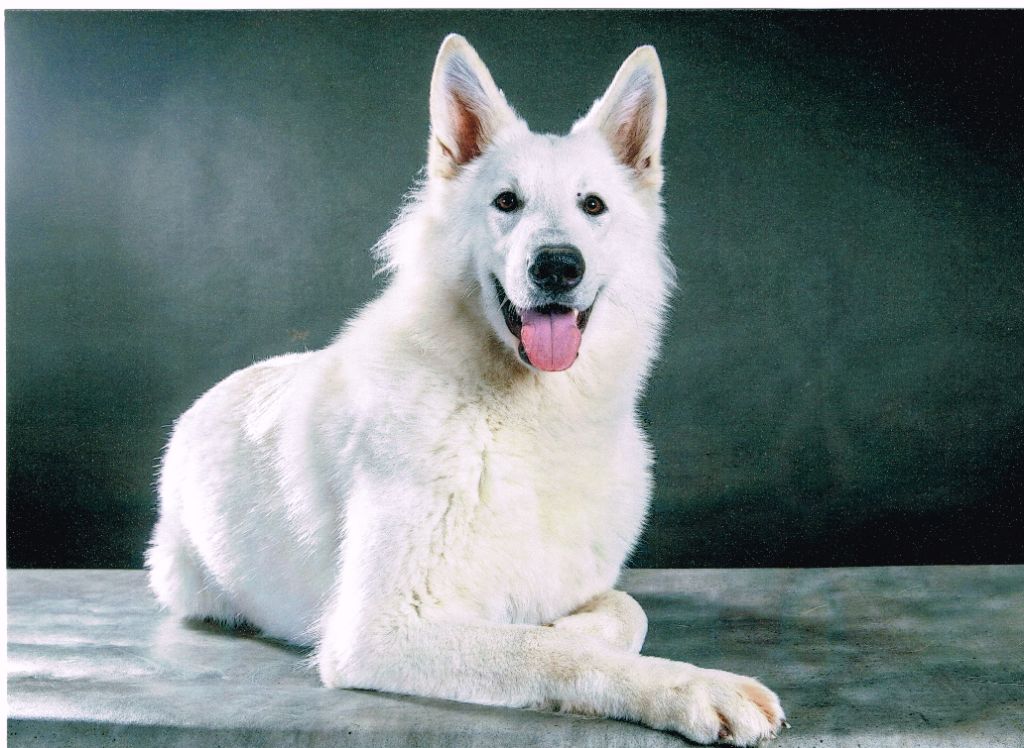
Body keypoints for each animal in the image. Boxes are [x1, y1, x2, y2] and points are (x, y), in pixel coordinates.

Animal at [147, 34, 785, 745]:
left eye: (592, 206)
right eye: (506, 202)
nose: (557, 267)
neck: (528, 417)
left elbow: (626, 609)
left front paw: (579, 623)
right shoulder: (381, 631)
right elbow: (552, 650)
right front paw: (690, 685)